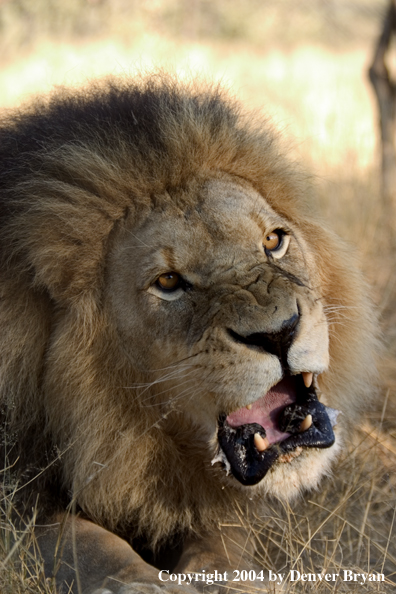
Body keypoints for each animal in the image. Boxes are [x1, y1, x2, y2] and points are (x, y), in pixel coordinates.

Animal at [0, 75, 378, 592]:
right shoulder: (17, 491)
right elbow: (76, 538)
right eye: (168, 282)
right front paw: (139, 583)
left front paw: (226, 579)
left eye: (273, 241)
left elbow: (223, 537)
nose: (278, 333)